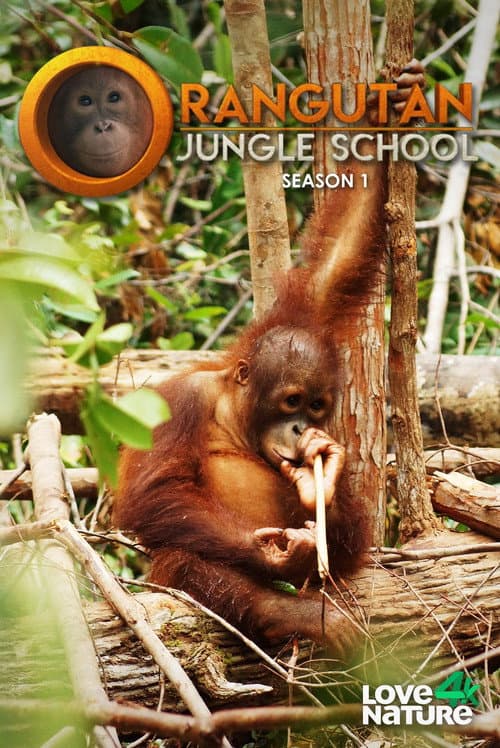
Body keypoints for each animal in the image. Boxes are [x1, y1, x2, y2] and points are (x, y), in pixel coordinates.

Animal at [114, 62, 425, 658]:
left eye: (317, 406)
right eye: (290, 401)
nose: (303, 427)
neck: (237, 416)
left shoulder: (306, 314)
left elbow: (338, 258)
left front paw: (390, 105)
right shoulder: (178, 401)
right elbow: (155, 493)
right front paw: (273, 553)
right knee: (182, 559)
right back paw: (291, 613)